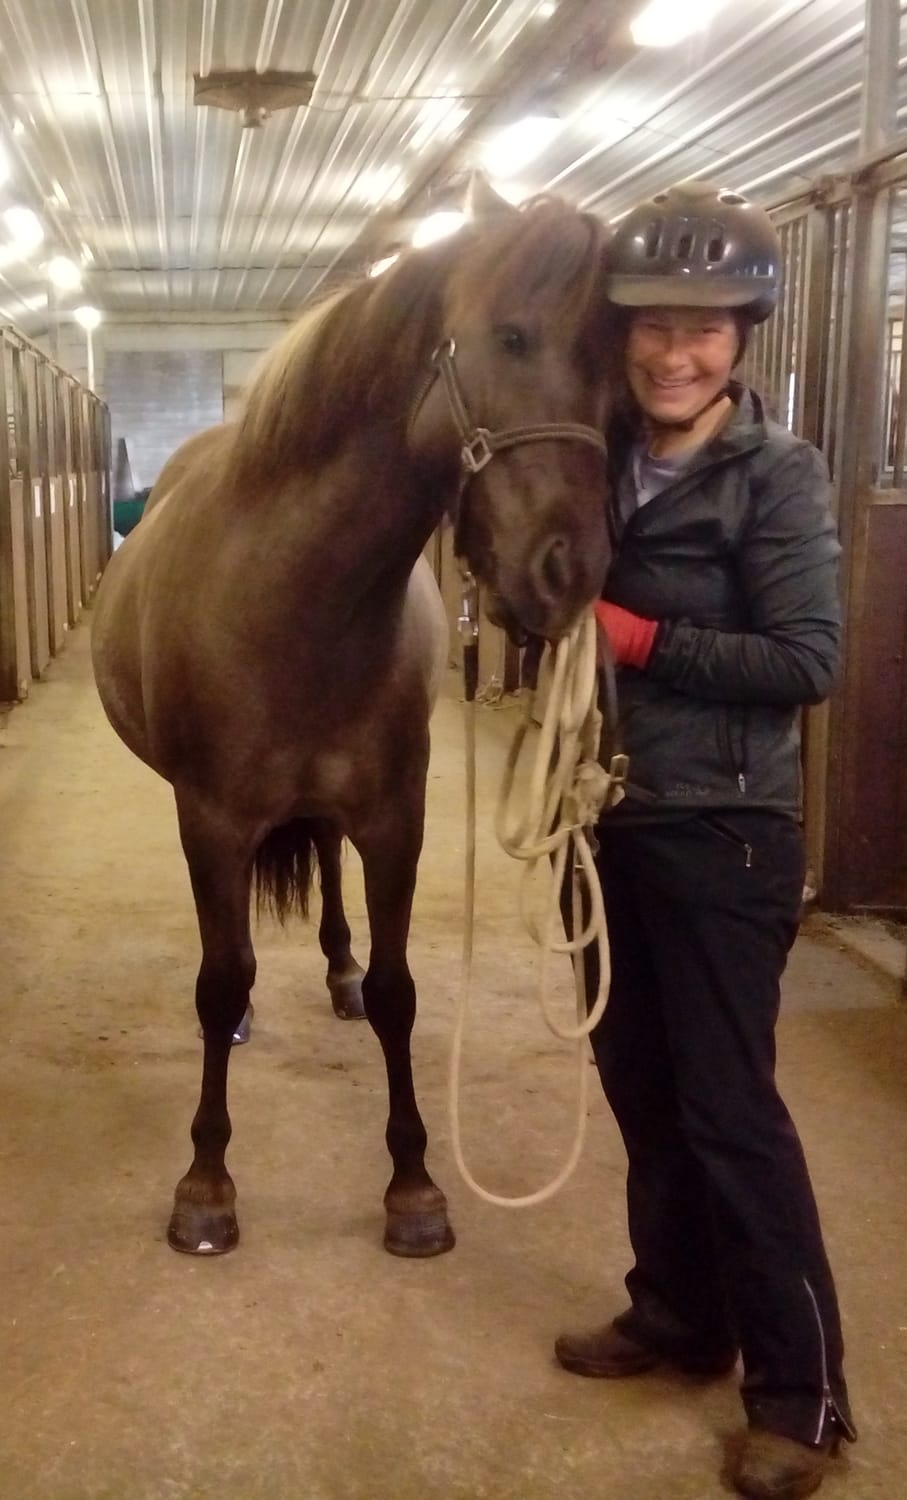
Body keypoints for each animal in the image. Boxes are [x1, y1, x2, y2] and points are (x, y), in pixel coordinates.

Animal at [91, 181, 615, 1261]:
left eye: (610, 361)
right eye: (510, 336)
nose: (571, 571)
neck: (291, 595)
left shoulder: (391, 817)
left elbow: (396, 990)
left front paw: (413, 1185)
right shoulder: (212, 819)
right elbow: (219, 978)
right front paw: (206, 1185)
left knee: (326, 870)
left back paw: (331, 967)